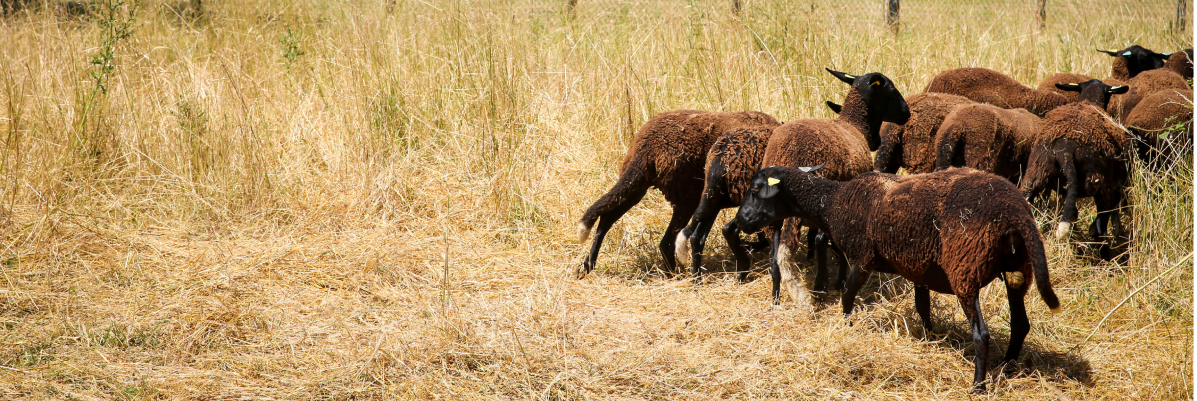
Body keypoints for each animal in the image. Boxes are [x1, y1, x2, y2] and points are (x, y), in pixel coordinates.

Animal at [574, 111, 780, 277]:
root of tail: (646, 147)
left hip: (636, 184)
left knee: (606, 218)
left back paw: (588, 265)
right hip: (686, 198)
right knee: (666, 242)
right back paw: (676, 275)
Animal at [732, 165, 1062, 392]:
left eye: (755, 190)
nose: (738, 222)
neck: (834, 203)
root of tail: (1015, 210)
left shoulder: (863, 257)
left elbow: (847, 294)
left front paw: (847, 326)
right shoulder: (919, 268)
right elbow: (922, 306)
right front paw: (928, 337)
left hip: (965, 269)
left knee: (981, 334)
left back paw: (978, 386)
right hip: (1019, 268)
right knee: (1020, 323)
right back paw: (1007, 366)